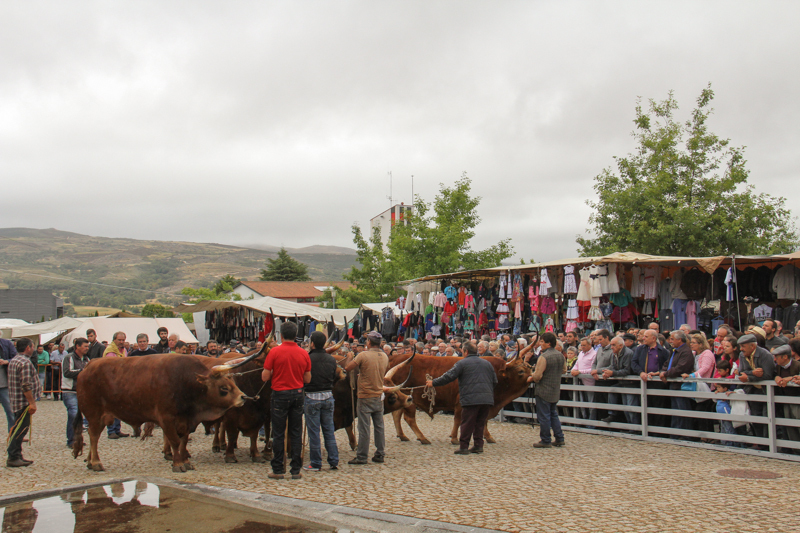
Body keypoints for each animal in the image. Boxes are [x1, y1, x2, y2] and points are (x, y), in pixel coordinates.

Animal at [74, 354, 256, 470]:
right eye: (223, 388)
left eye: (233, 383)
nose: (243, 397)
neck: (184, 381)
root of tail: (89, 366)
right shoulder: (166, 418)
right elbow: (174, 441)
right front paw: (178, 464)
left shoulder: (186, 420)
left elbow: (183, 441)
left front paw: (185, 461)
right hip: (94, 414)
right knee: (93, 436)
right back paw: (96, 462)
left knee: (93, 435)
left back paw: (89, 461)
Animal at [386, 352, 532, 442]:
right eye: (521, 371)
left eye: (529, 367)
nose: (533, 377)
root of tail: (394, 358)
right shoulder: (461, 402)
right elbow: (459, 419)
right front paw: (455, 438)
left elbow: (482, 420)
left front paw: (487, 437)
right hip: (410, 400)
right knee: (408, 418)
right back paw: (422, 438)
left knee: (396, 415)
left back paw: (403, 435)